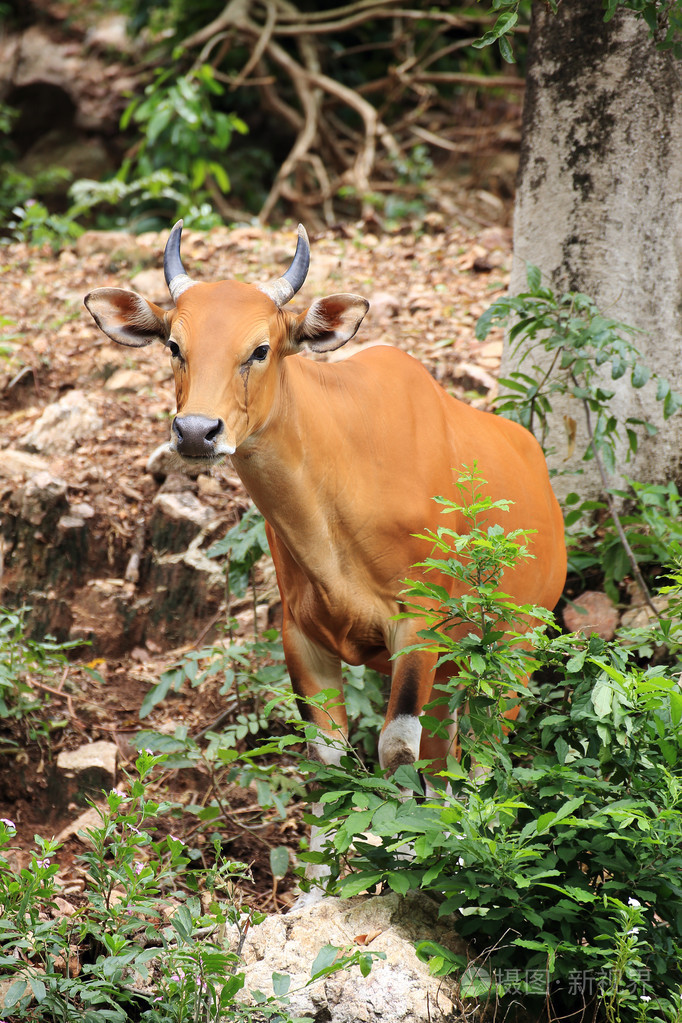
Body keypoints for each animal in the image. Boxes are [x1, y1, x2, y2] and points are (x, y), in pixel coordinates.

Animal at [83, 221, 564, 806]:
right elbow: (327, 760)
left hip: (517, 646)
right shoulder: (301, 636)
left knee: (484, 756)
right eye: (175, 345)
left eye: (260, 349)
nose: (196, 431)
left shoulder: (419, 623)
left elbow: (396, 753)